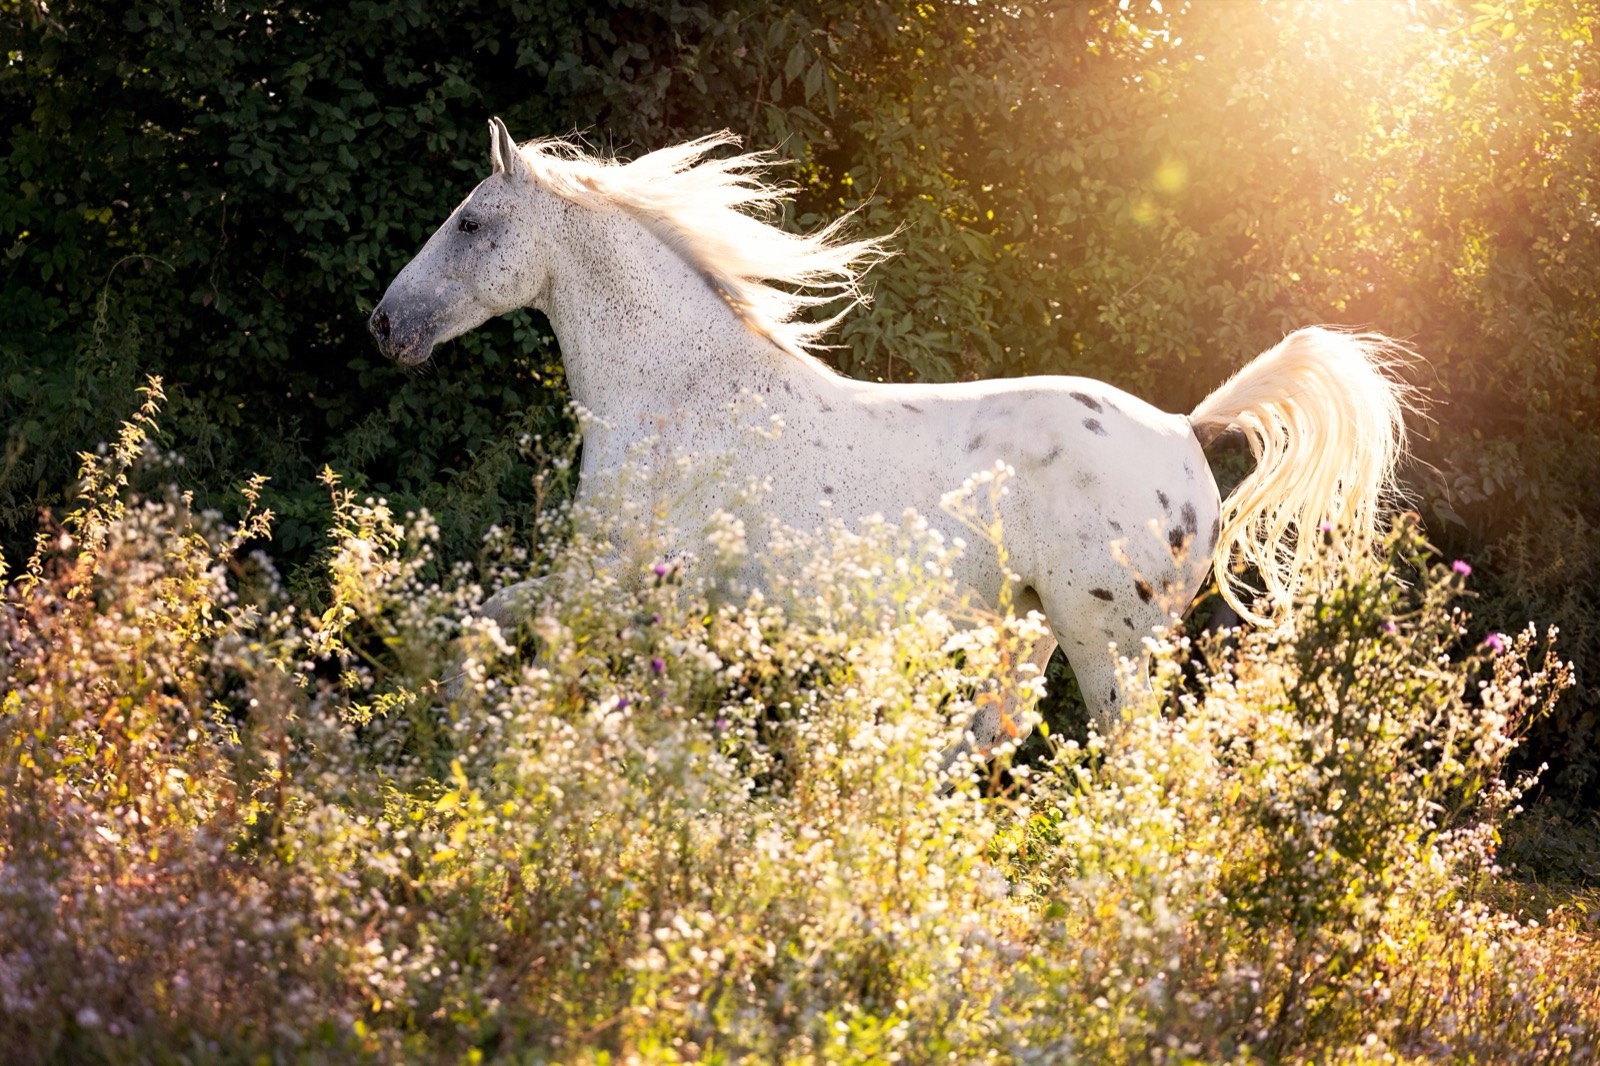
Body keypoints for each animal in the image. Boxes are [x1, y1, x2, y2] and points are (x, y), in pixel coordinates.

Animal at [366, 118, 1414, 745]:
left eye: (470, 223)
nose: (384, 326)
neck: (681, 388)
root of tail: (1185, 433)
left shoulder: (614, 578)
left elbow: (495, 638)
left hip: (1108, 640)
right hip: (1027, 626)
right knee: (987, 745)